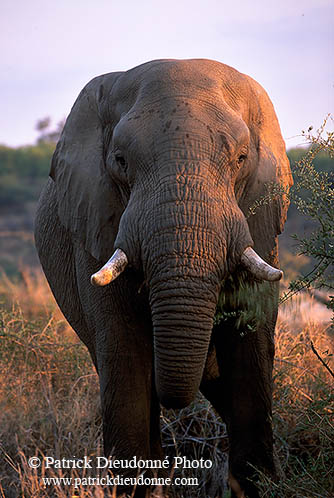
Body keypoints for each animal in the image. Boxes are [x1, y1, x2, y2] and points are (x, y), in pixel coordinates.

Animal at [35, 57, 292, 494]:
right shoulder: (97, 223)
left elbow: (251, 345)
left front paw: (260, 484)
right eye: (120, 161)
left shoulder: (258, 222)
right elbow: (123, 352)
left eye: (242, 158)